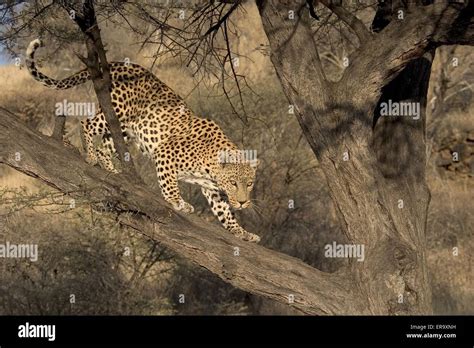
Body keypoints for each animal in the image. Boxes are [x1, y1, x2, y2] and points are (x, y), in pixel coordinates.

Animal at [26, 38, 260, 242]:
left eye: (249, 184)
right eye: (233, 183)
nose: (243, 203)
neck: (211, 165)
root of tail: (117, 63)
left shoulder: (212, 189)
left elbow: (224, 212)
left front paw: (242, 232)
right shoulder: (165, 153)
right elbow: (170, 185)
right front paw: (178, 202)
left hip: (123, 129)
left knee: (105, 147)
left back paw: (112, 171)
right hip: (116, 112)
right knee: (87, 123)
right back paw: (90, 155)